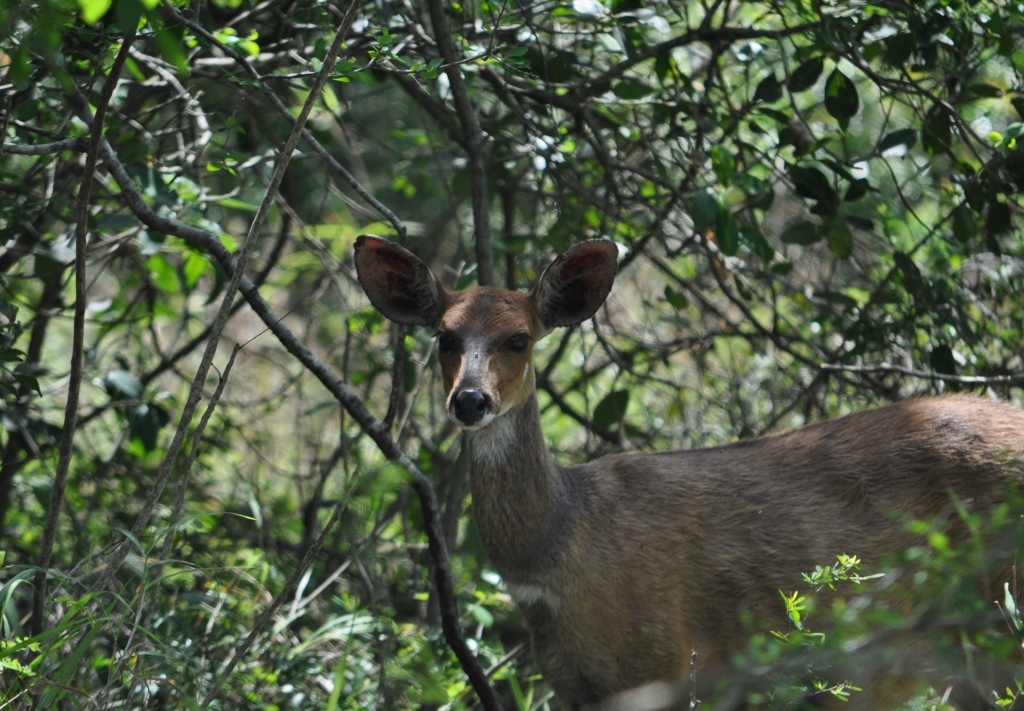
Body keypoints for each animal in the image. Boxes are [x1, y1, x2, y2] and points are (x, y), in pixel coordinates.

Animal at [354, 236, 1024, 708]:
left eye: (518, 338)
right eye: (443, 336)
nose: (469, 400)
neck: (556, 551)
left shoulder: (657, 662)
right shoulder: (570, 683)